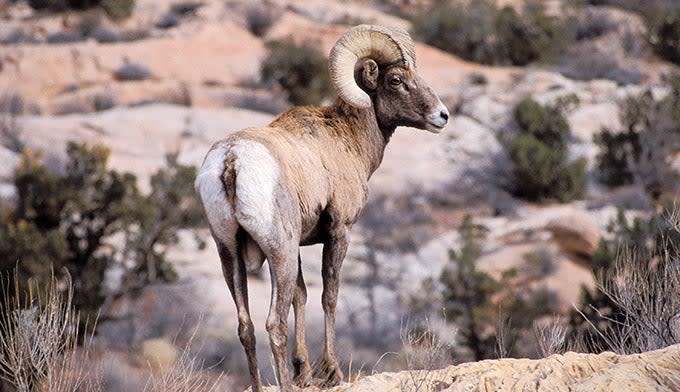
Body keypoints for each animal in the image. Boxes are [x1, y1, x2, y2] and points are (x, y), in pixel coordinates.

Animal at [197, 26, 448, 390]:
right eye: (396, 80)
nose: (442, 116)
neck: (345, 140)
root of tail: (232, 159)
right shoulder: (339, 231)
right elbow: (329, 295)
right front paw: (331, 372)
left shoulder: (300, 245)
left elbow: (301, 296)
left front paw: (304, 372)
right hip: (280, 252)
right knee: (274, 324)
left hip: (229, 254)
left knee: (246, 326)